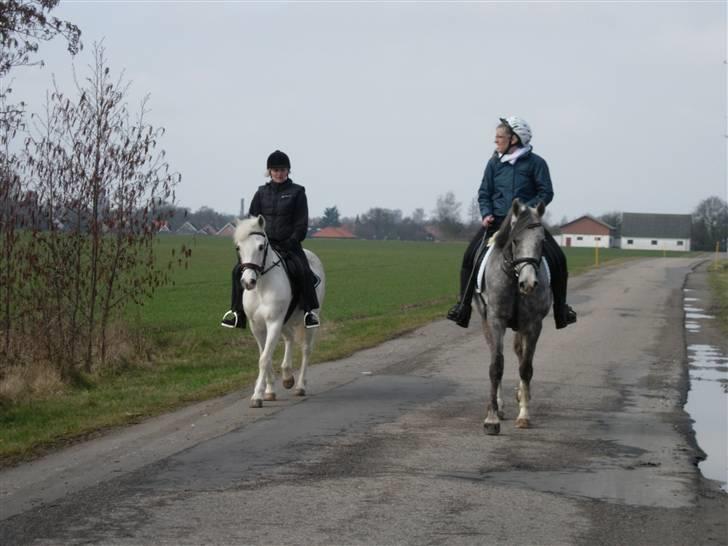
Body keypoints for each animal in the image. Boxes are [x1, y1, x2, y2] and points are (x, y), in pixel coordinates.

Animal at [235, 215, 326, 406]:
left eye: (261, 246)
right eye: (238, 247)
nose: (248, 282)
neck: (262, 286)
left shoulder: (274, 322)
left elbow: (264, 359)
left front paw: (257, 396)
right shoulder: (257, 327)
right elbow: (265, 356)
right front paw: (269, 391)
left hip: (310, 319)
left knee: (306, 349)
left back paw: (300, 386)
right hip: (285, 321)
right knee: (290, 338)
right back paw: (287, 376)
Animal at [474, 198, 548, 432]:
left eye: (542, 242)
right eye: (515, 240)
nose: (528, 284)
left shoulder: (533, 324)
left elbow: (525, 367)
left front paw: (524, 415)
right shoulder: (496, 321)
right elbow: (496, 365)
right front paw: (492, 418)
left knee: (520, 354)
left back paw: (522, 395)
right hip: (486, 322)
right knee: (497, 356)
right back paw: (499, 405)